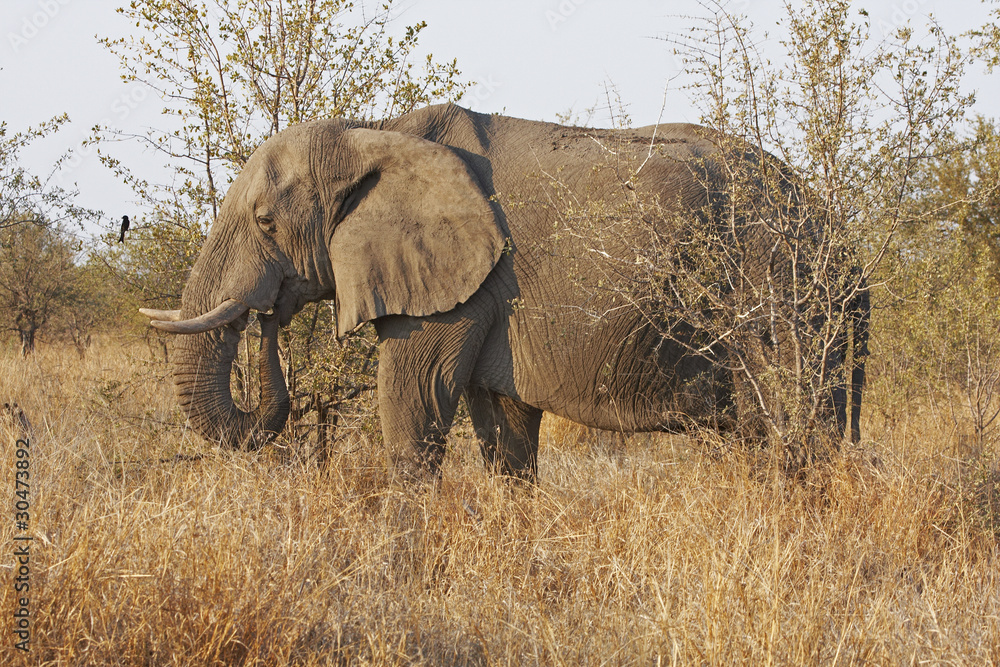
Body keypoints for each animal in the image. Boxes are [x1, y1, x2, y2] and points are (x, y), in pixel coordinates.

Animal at [141, 103, 868, 481]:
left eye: (266, 222)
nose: (266, 316)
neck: (371, 133)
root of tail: (831, 221)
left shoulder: (464, 282)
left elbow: (415, 402)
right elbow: (504, 430)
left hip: (792, 292)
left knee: (805, 436)